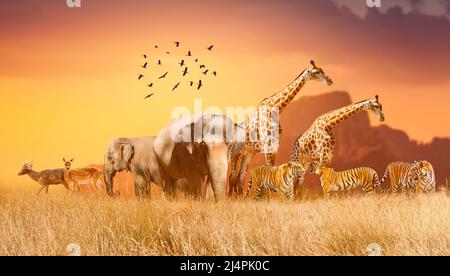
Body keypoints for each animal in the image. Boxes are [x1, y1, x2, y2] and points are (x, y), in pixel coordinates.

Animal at [230, 60, 332, 195]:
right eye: (316, 72)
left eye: (323, 70)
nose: (330, 81)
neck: (276, 108)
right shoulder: (268, 146)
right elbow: (268, 173)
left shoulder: (274, 147)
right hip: (236, 153)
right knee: (232, 177)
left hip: (248, 153)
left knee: (239, 178)